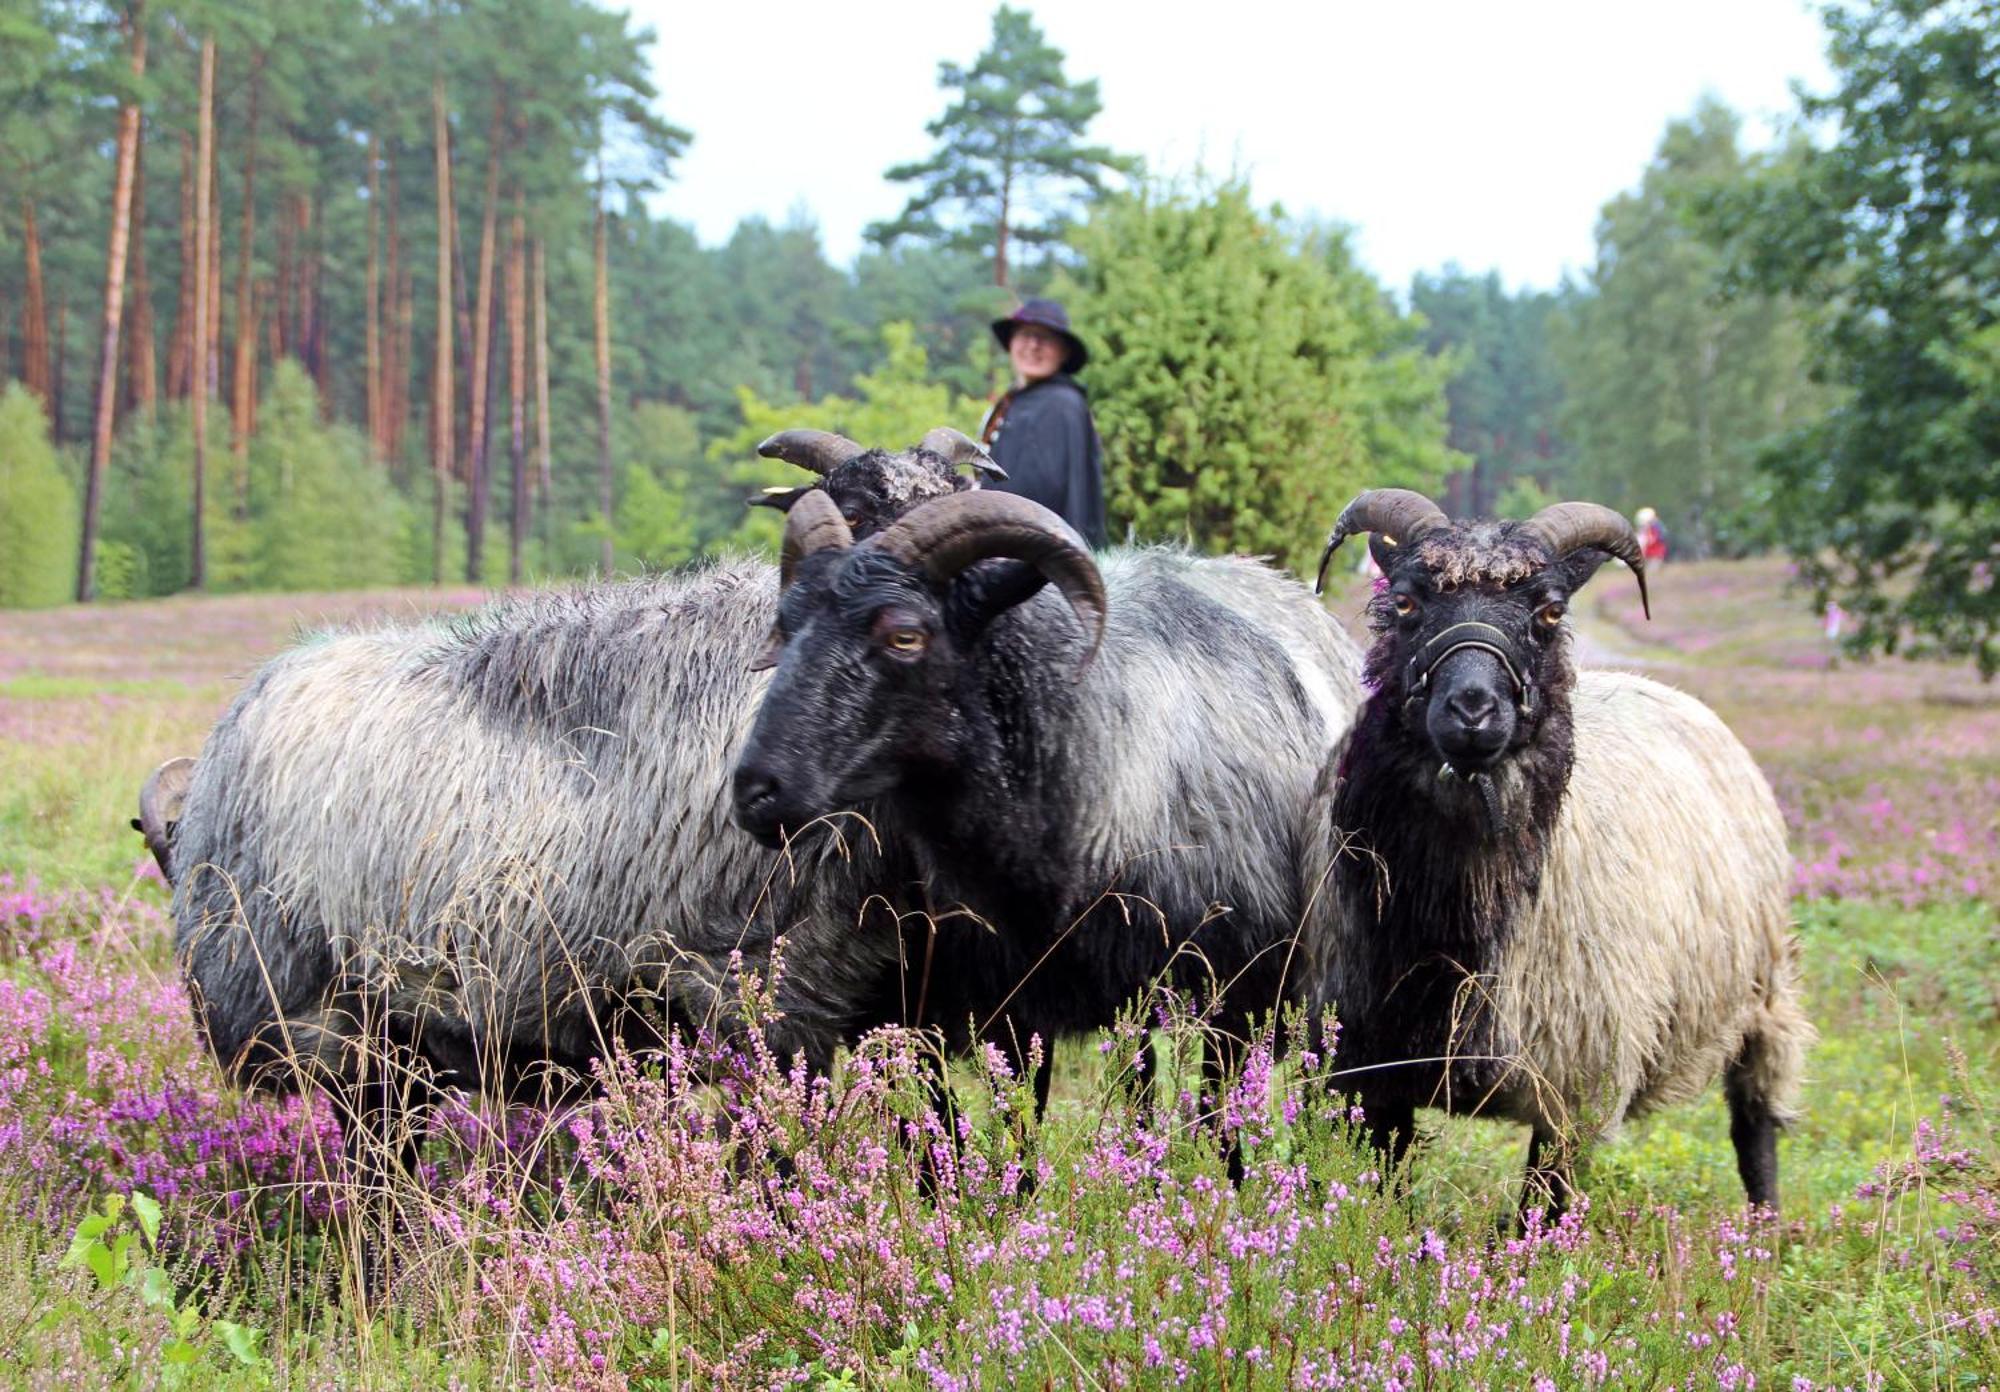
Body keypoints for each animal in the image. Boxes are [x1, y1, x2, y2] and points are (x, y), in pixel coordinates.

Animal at [1304, 490, 1824, 1216]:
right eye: (1404, 601)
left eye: (1550, 611)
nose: (1472, 708)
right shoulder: (1368, 1067)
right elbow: (1391, 1193)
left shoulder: (1577, 1082)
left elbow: (1541, 1212)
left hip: (1763, 989)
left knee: (1756, 1121)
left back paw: (1765, 1229)